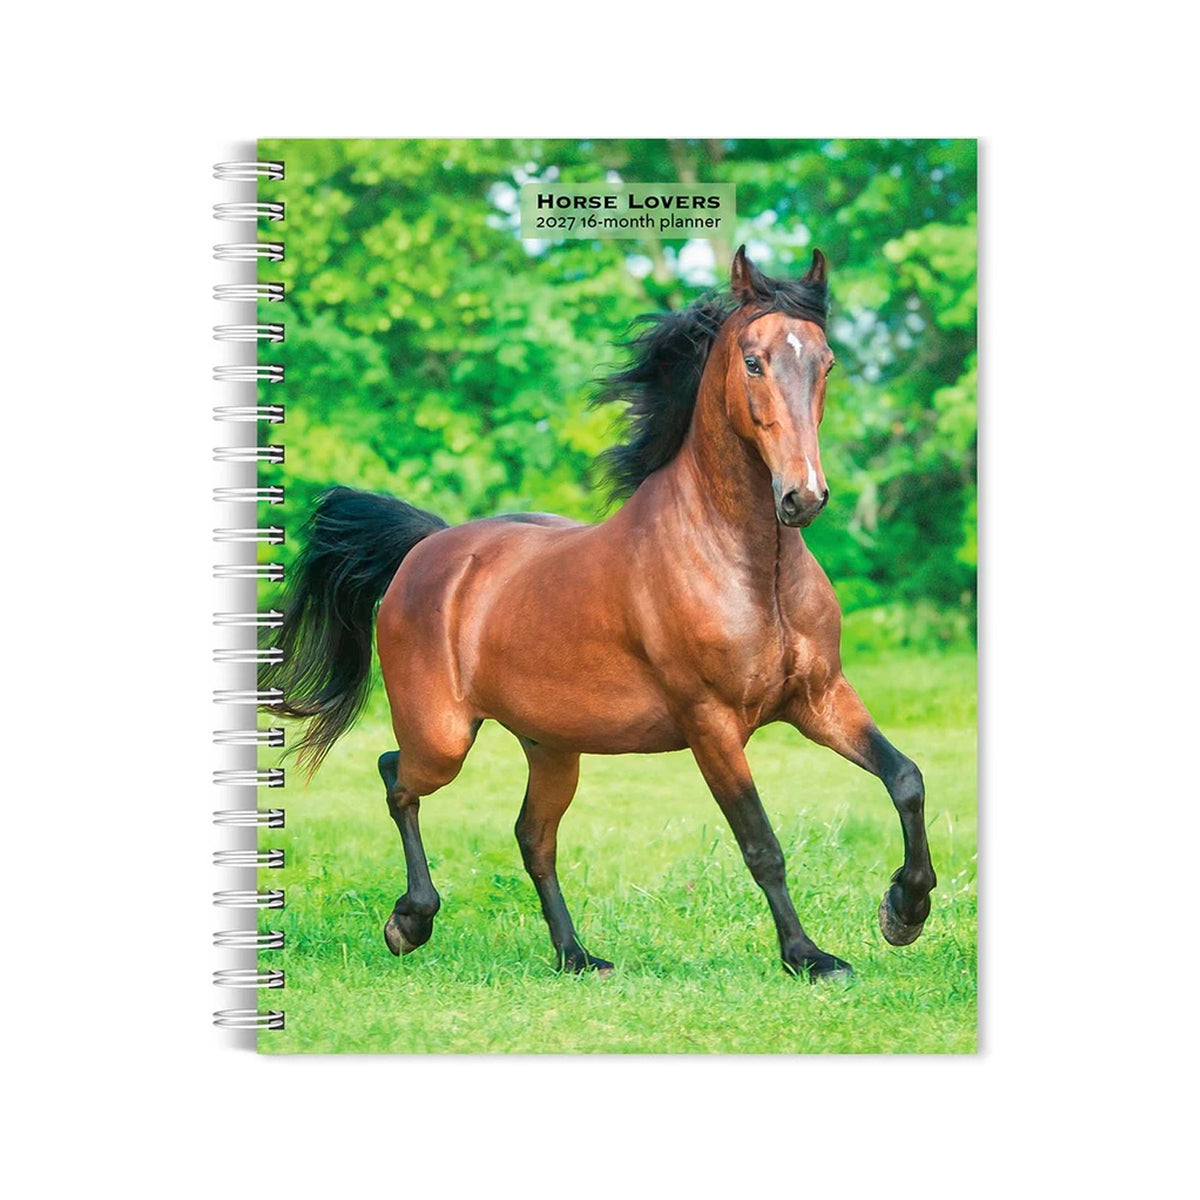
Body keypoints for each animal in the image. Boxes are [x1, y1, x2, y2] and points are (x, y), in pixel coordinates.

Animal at [269, 245, 936, 980]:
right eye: (754, 361)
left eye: (826, 361)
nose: (803, 497)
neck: (752, 570)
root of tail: (427, 549)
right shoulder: (711, 724)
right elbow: (761, 843)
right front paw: (809, 956)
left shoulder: (819, 698)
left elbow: (905, 778)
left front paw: (905, 912)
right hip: (442, 737)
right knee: (397, 777)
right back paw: (410, 922)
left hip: (551, 746)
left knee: (532, 834)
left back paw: (575, 954)